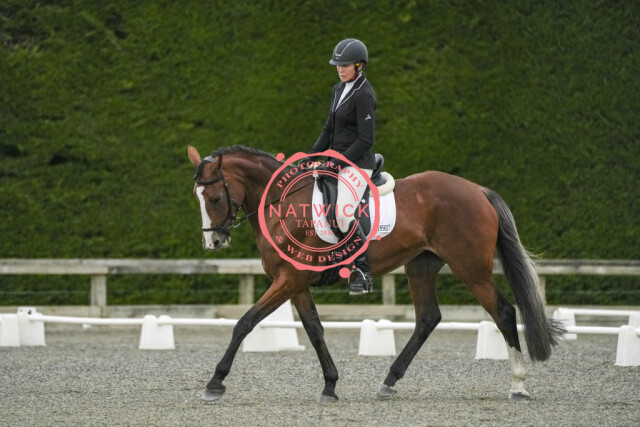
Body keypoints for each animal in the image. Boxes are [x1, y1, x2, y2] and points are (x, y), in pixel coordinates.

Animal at [187, 144, 564, 402]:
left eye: (216, 197)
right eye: (197, 198)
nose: (213, 242)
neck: (284, 204)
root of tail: (477, 190)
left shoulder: (289, 280)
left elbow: (245, 322)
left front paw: (215, 382)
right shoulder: (295, 283)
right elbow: (314, 330)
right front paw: (330, 385)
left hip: (471, 268)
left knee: (504, 312)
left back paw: (518, 385)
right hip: (421, 265)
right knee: (428, 318)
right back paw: (389, 381)